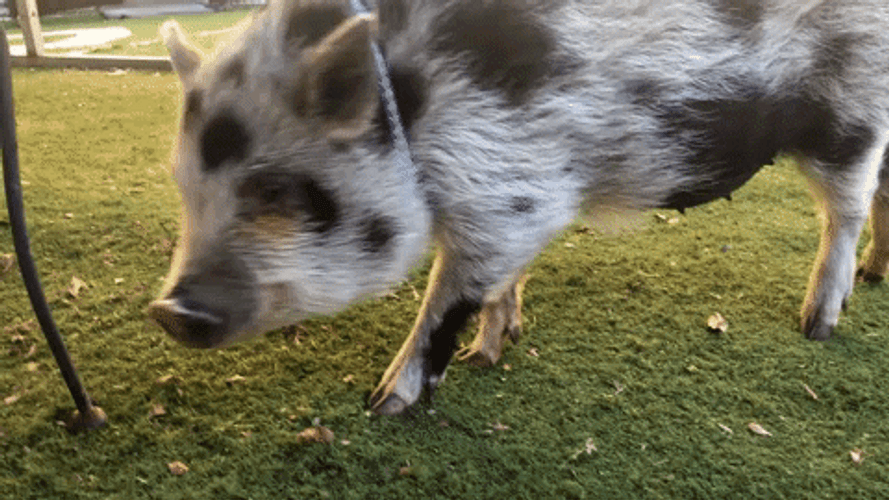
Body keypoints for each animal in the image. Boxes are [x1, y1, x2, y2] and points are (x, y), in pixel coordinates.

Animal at [149, 0, 889, 415]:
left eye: (276, 191)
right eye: (185, 186)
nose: (167, 309)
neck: (413, 100)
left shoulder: (510, 187)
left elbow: (448, 297)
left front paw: (384, 405)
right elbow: (498, 283)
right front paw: (491, 353)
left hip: (850, 105)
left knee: (845, 208)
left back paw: (817, 325)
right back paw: (872, 278)